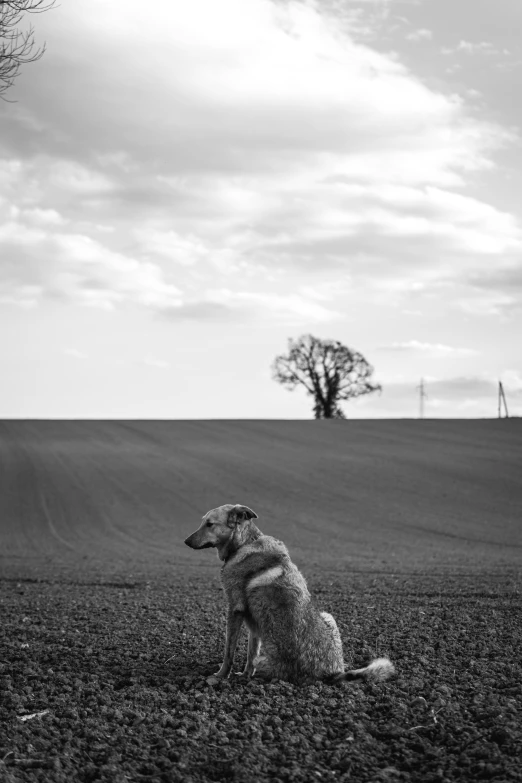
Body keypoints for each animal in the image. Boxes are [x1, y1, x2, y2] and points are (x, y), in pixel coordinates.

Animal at [185, 506, 392, 684]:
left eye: (209, 524)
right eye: (203, 522)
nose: (186, 541)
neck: (245, 542)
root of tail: (332, 673)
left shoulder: (234, 609)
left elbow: (229, 651)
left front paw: (220, 676)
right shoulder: (254, 622)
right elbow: (251, 651)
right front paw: (244, 675)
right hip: (328, 616)